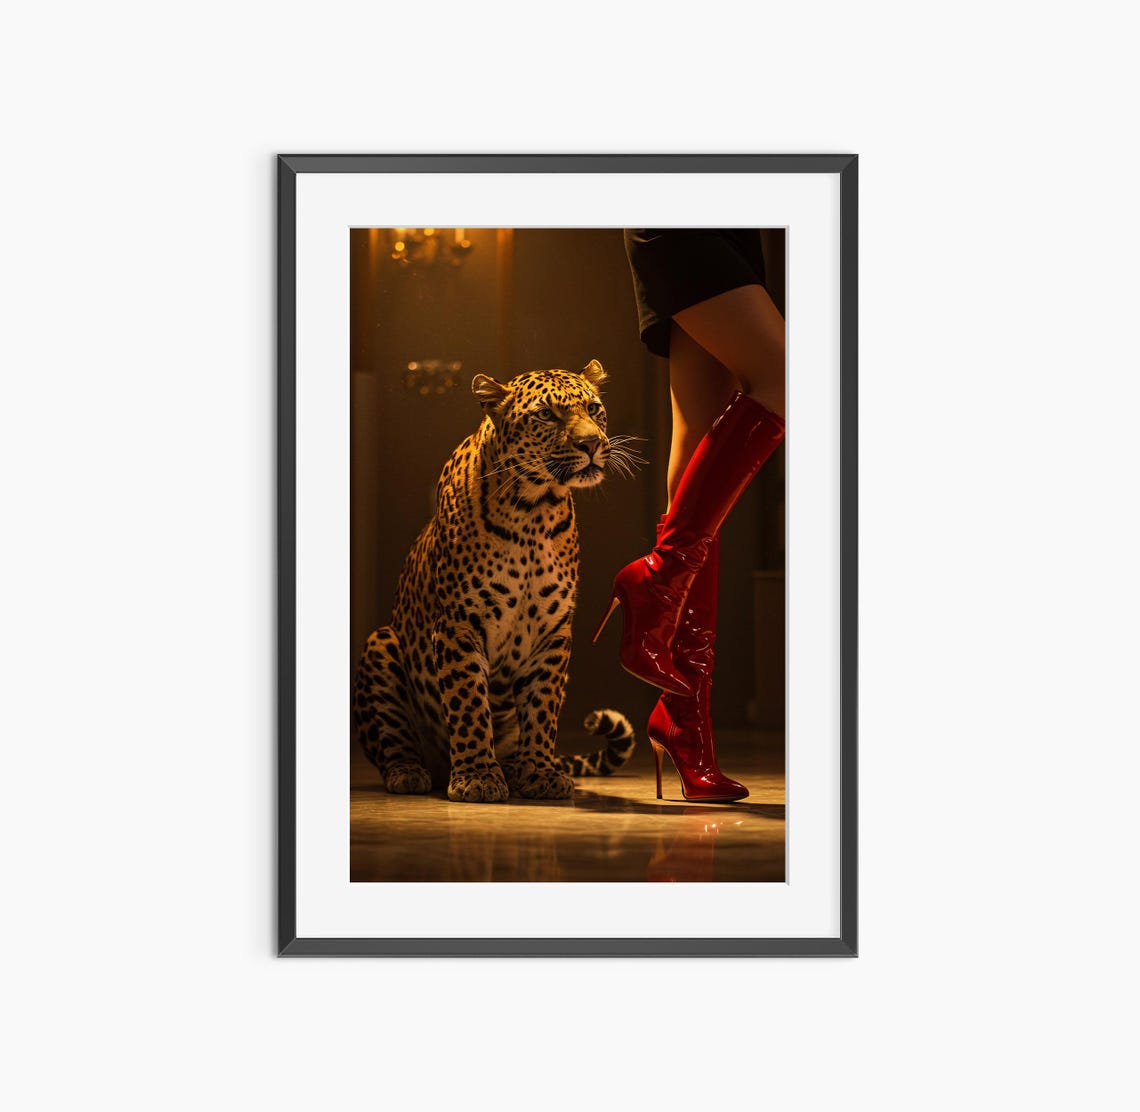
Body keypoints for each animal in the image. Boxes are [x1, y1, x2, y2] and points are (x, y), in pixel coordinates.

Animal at [353, 359, 640, 803]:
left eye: (593, 409)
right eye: (546, 415)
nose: (592, 444)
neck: (535, 510)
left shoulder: (552, 631)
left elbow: (542, 708)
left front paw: (541, 772)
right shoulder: (458, 624)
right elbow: (469, 703)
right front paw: (477, 777)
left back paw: (518, 769)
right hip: (379, 644)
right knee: (394, 742)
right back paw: (410, 772)